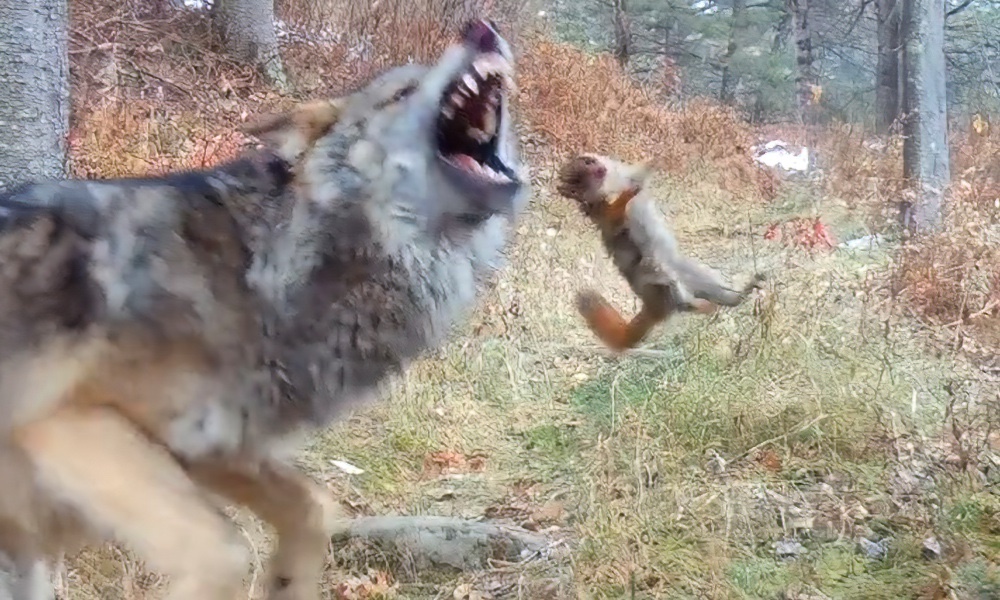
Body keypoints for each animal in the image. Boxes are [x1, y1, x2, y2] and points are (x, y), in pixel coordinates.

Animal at [0, 18, 532, 600]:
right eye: (402, 93)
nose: (479, 28)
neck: (268, 266)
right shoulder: (64, 420)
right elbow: (224, 552)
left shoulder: (212, 444)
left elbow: (314, 507)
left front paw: (287, 580)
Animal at [556, 152, 756, 352]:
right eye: (578, 183)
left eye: (587, 162)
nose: (597, 169)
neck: (612, 185)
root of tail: (652, 307)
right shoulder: (602, 210)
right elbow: (614, 217)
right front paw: (627, 195)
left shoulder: (624, 174)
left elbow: (639, 173)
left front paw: (654, 163)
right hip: (653, 274)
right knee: (673, 291)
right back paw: (695, 305)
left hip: (692, 273)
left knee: (708, 286)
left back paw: (738, 295)